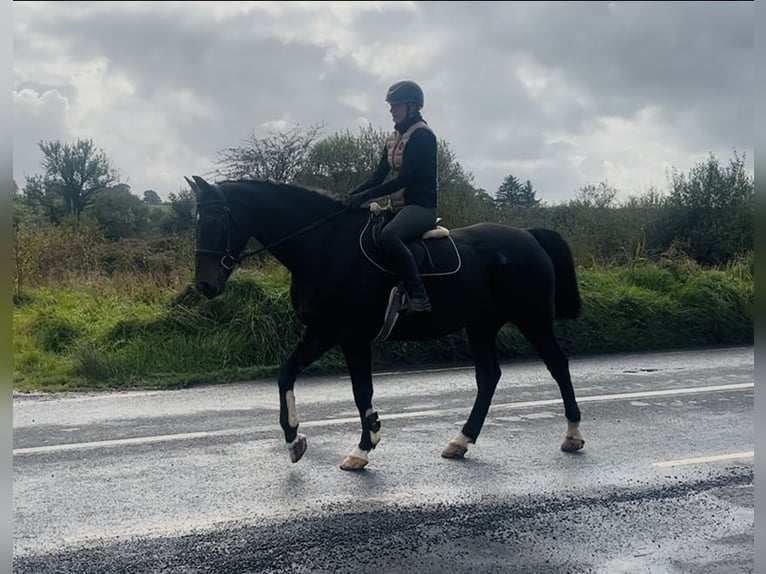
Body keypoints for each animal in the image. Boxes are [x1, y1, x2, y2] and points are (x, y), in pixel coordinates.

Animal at [186, 175, 585, 471]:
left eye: (217, 220)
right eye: (196, 222)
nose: (205, 285)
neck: (323, 246)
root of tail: (528, 235)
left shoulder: (351, 336)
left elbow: (362, 391)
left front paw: (364, 447)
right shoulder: (322, 331)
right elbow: (286, 374)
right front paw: (294, 439)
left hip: (532, 319)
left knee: (557, 365)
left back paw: (573, 435)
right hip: (481, 325)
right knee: (488, 378)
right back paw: (460, 441)